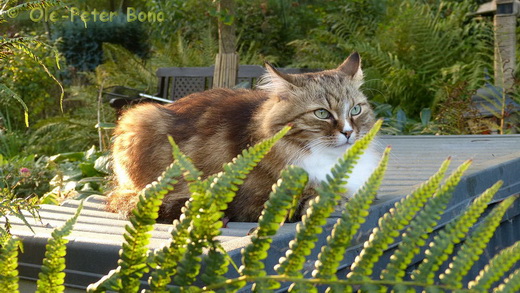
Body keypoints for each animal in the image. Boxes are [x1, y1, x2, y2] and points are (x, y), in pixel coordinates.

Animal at [108, 52, 378, 221]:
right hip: (140, 116)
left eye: (356, 109)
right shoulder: (257, 202)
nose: (348, 132)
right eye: (322, 113)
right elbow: (315, 200)